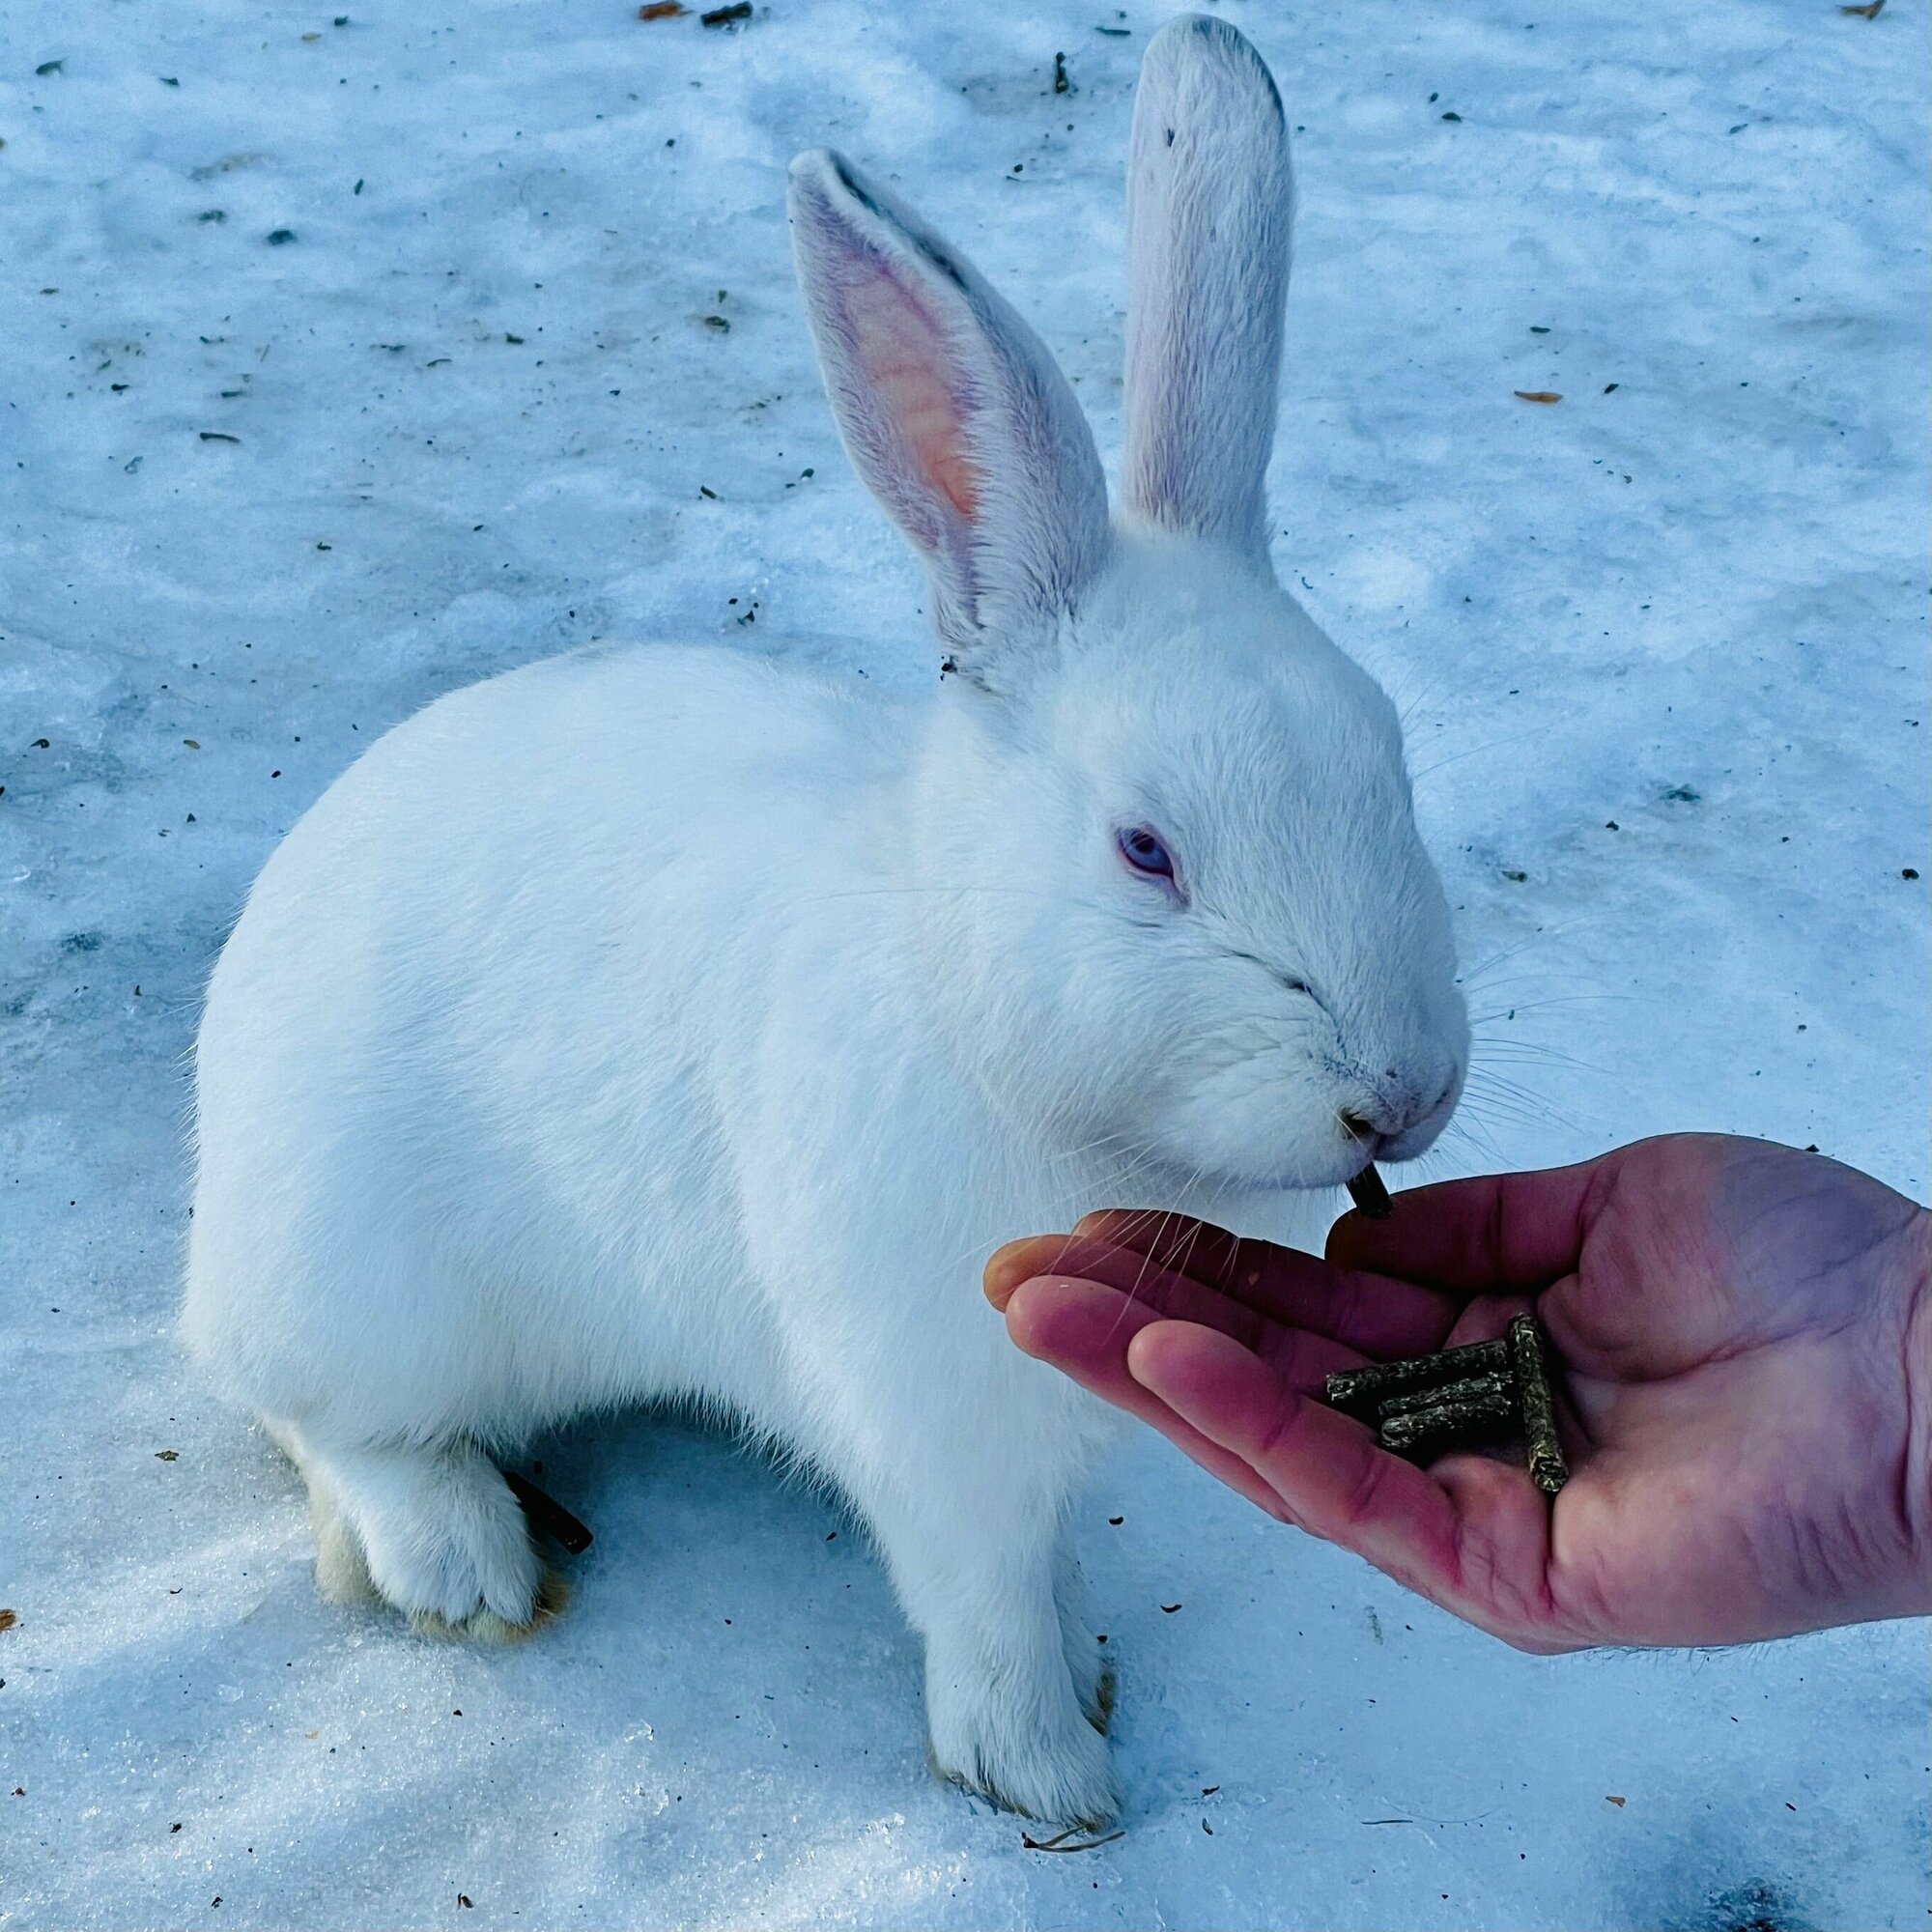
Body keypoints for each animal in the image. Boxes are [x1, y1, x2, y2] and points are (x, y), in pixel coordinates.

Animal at [182, 14, 1461, 1824]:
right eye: (1146, 852)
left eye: (1391, 759)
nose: (1404, 1095)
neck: (962, 984)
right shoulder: (929, 1411)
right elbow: (979, 1598)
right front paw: (1049, 1781)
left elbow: (1043, 1572)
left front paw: (1091, 1667)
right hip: (361, 1282)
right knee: (305, 1410)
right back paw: (459, 1561)